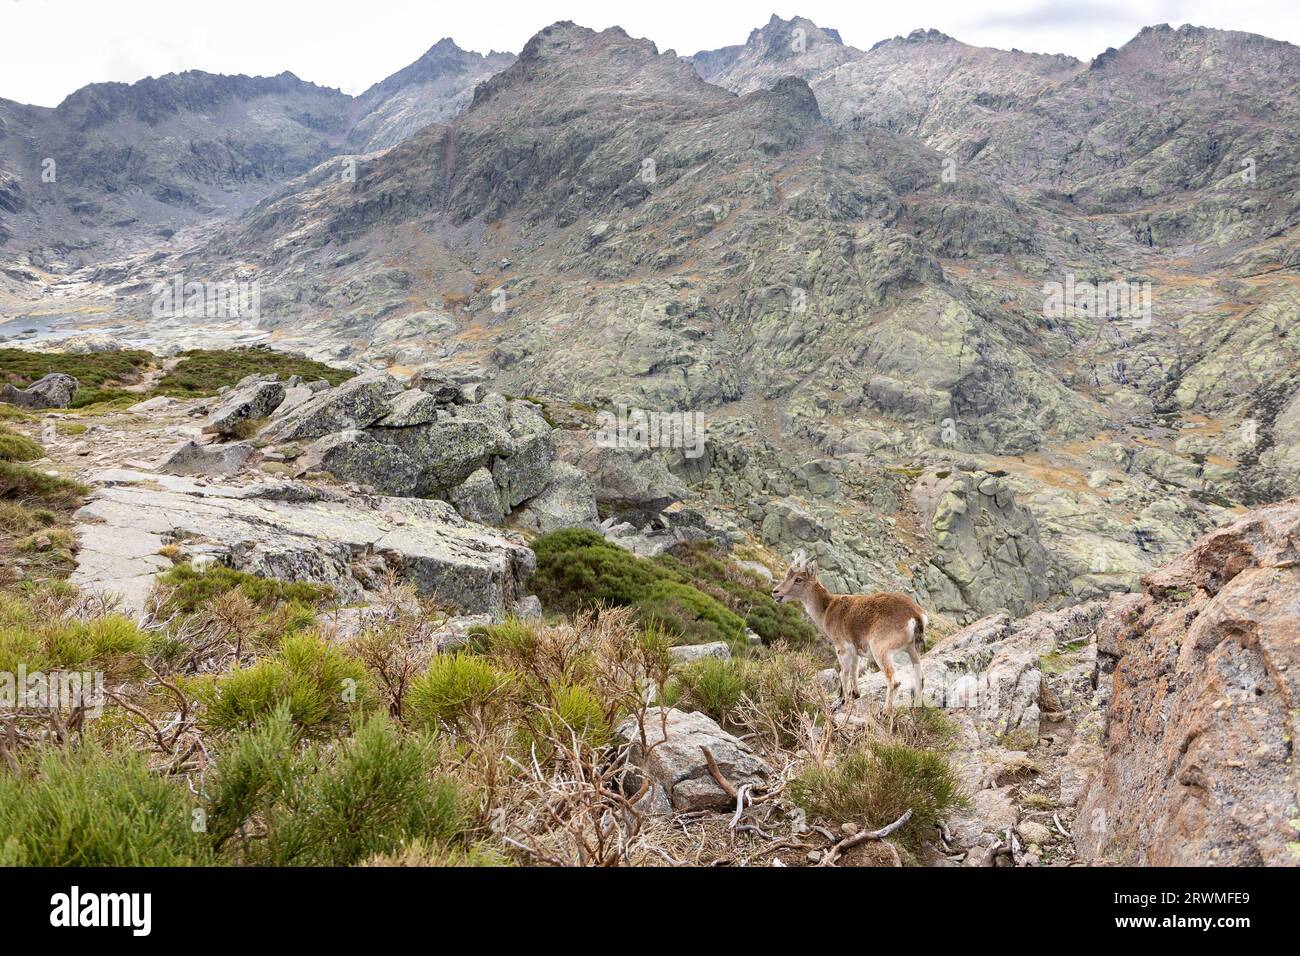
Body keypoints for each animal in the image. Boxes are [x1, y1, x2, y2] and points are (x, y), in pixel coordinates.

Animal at [772, 550, 927, 712]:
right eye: (786, 576)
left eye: (798, 579)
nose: (775, 592)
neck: (827, 609)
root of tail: (915, 615)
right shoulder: (855, 650)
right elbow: (854, 670)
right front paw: (855, 694)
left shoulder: (842, 647)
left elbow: (843, 674)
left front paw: (843, 701)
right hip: (911, 648)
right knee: (920, 677)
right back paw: (917, 708)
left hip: (880, 649)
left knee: (894, 681)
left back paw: (885, 712)